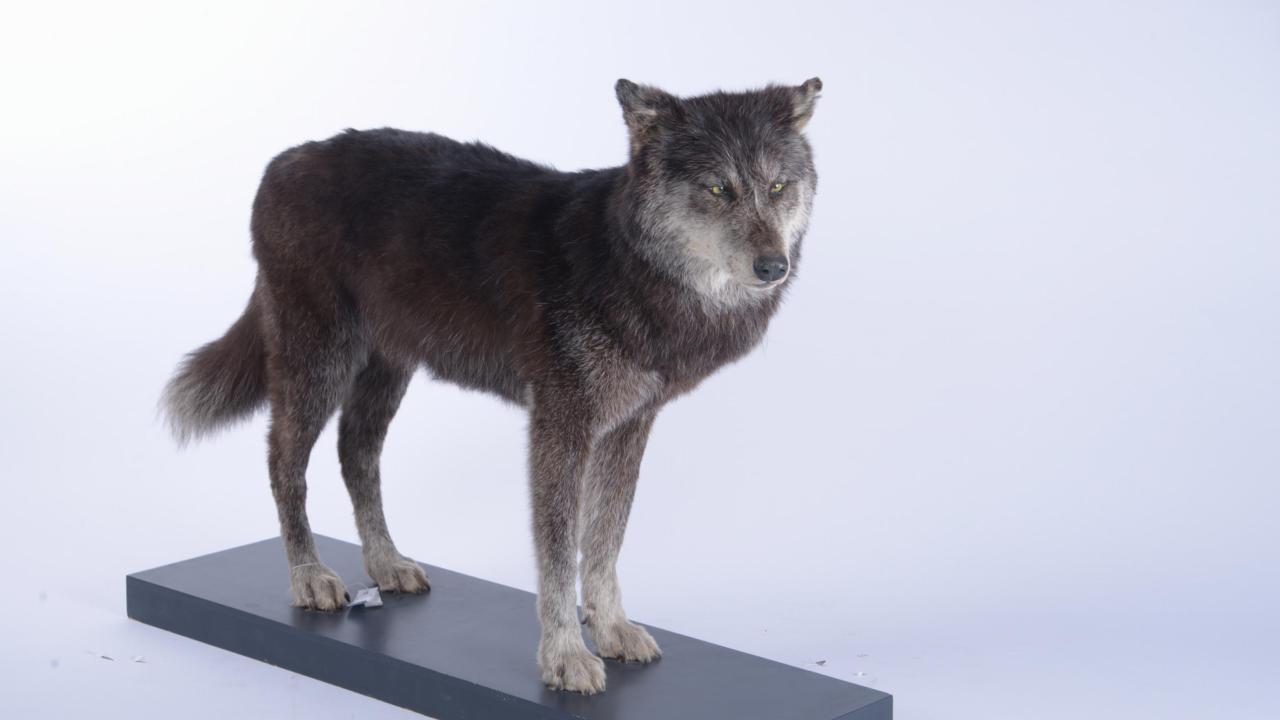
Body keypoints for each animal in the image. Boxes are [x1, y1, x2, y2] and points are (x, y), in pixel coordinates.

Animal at [161, 77, 821, 694]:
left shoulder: (628, 426)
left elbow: (605, 539)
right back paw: (309, 577)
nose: (774, 266)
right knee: (284, 461)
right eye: (718, 189)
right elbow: (557, 552)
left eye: (777, 188)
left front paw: (611, 630)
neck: (622, 264)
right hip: (318, 360)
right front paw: (565, 657)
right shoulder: (559, 425)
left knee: (357, 453)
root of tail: (284, 160)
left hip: (388, 367)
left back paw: (385, 564)